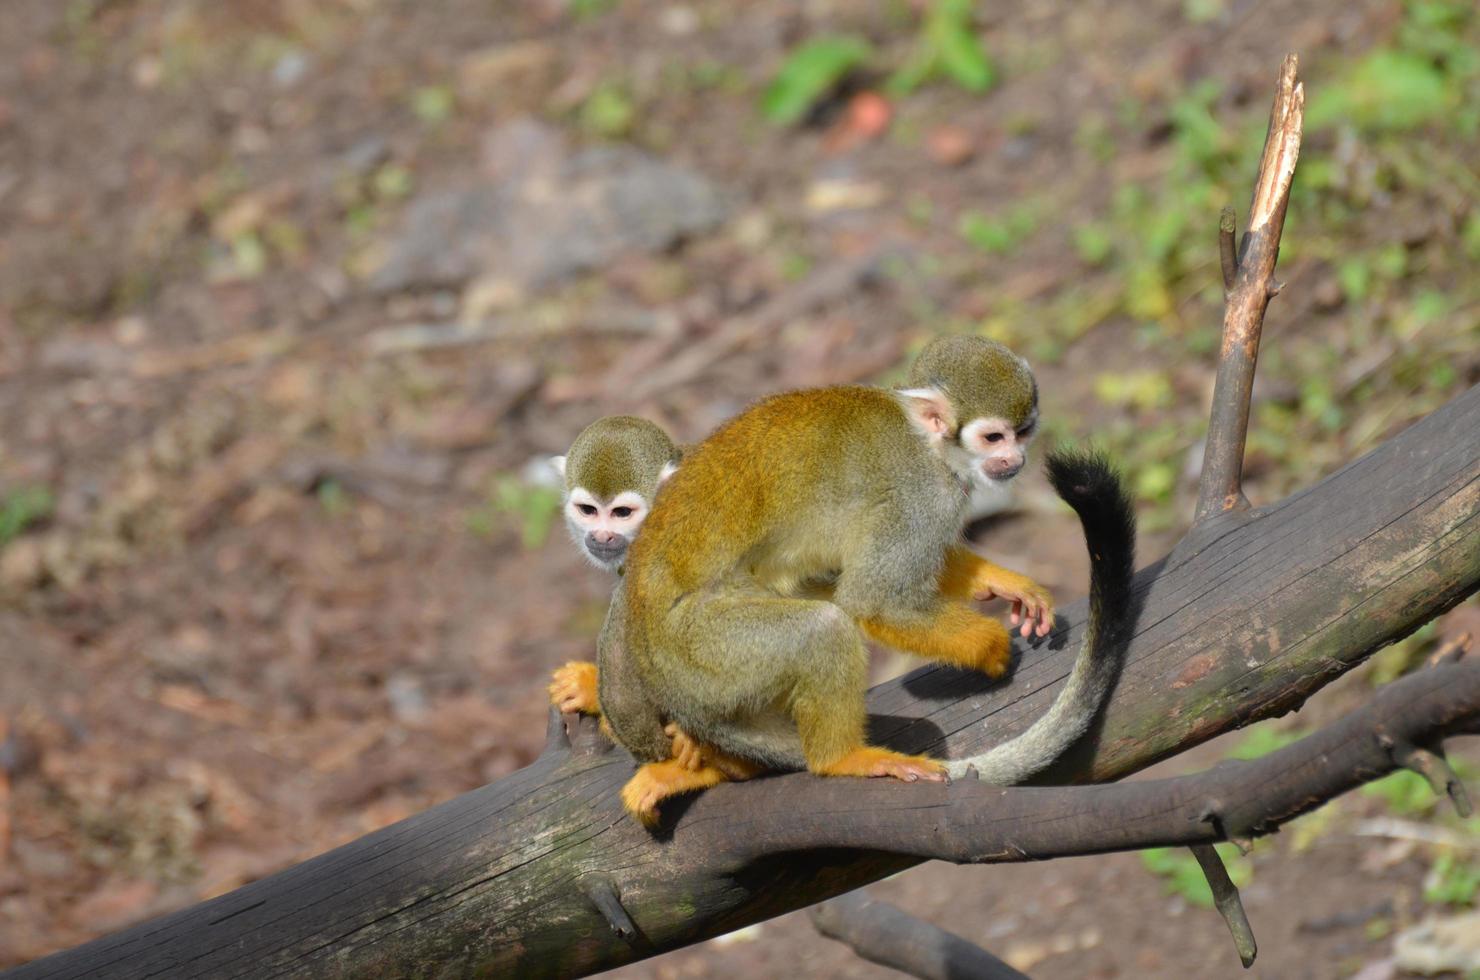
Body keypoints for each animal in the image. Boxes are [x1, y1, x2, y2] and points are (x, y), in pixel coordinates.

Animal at [618, 336, 1136, 823]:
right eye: (993, 437)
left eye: (1022, 431)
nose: (1014, 460)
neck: (928, 444)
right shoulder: (925, 493)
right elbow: (872, 601)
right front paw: (988, 644)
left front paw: (1000, 581)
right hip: (700, 651)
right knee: (822, 627)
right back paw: (841, 759)